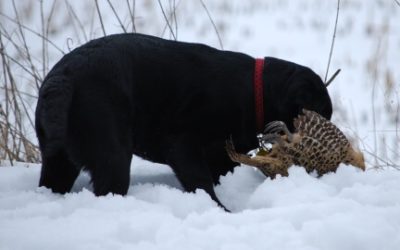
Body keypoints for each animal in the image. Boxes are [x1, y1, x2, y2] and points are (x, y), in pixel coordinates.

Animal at [36, 32, 332, 209]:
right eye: (319, 114)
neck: (254, 90)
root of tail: (62, 78)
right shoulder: (182, 145)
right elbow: (201, 182)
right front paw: (220, 210)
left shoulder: (221, 156)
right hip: (114, 156)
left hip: (59, 161)